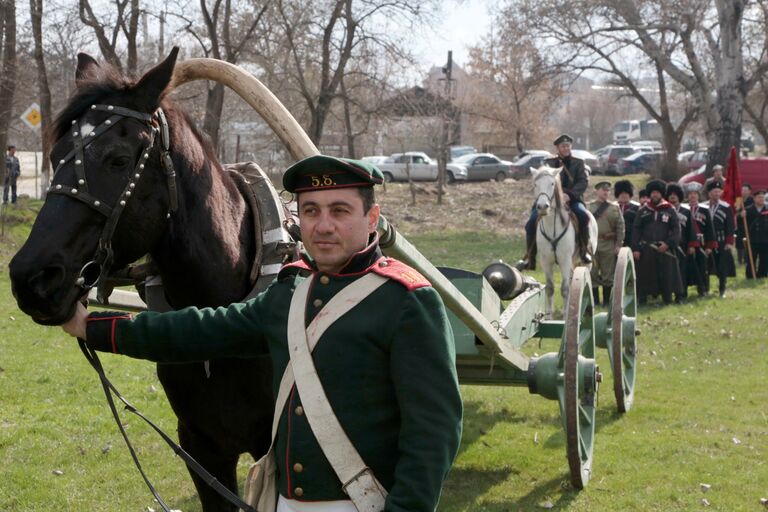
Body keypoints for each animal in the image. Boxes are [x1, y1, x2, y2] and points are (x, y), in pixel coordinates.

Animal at [528, 166, 600, 314]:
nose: (542, 207)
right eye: (535, 184)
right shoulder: (546, 261)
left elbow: (565, 289)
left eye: (552, 184)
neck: (552, 227)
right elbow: (550, 288)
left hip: (584, 262)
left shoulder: (564, 260)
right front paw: (549, 315)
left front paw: (566, 314)